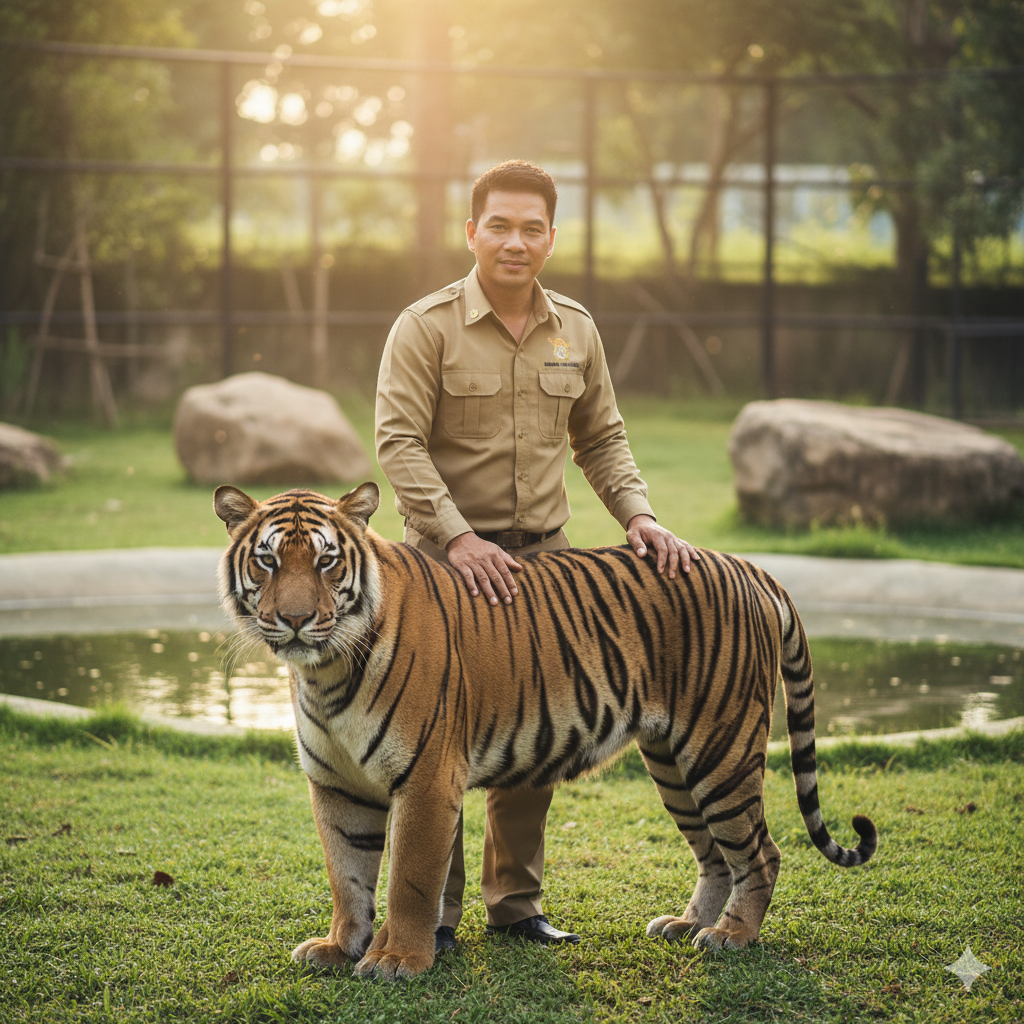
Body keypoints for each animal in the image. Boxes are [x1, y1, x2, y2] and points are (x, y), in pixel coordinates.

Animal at [214, 481, 877, 981]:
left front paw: (397, 960)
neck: (324, 671)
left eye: (327, 561)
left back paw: (731, 936)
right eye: (268, 560)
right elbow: (347, 875)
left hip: (722, 751)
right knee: (715, 853)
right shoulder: (336, 784)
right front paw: (339, 947)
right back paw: (688, 925)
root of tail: (744, 564)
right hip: (674, 762)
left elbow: (408, 878)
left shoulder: (426, 779)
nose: (295, 619)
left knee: (760, 852)